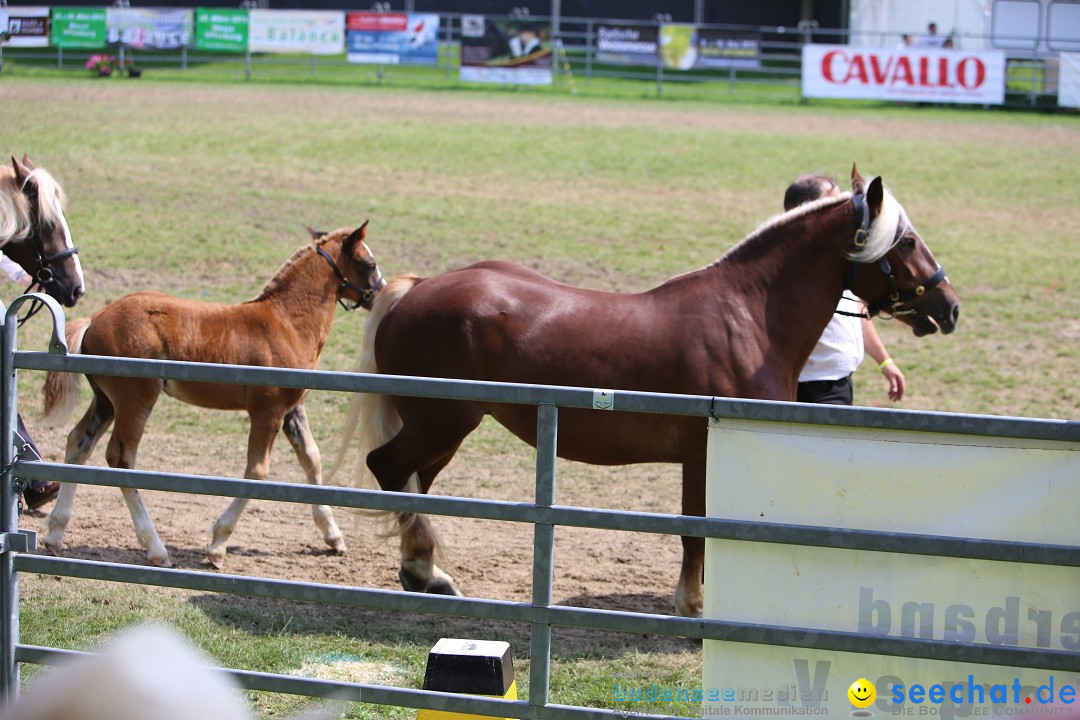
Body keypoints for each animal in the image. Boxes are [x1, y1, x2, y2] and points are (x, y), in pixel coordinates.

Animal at [43, 222, 388, 569]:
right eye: (369, 264)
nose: (382, 294)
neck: (287, 322)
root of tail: (94, 320)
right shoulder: (268, 413)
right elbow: (257, 471)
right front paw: (218, 543)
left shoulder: (292, 410)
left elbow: (312, 460)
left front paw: (333, 536)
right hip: (135, 400)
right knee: (120, 458)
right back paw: (156, 548)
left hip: (106, 401)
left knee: (79, 443)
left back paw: (55, 534)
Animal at [339, 166, 963, 617]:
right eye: (907, 241)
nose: (949, 307)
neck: (749, 316)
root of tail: (418, 288)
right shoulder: (703, 452)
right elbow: (696, 531)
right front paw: (693, 606)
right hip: (441, 422)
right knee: (390, 470)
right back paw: (425, 570)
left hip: (443, 429)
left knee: (415, 485)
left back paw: (425, 574)